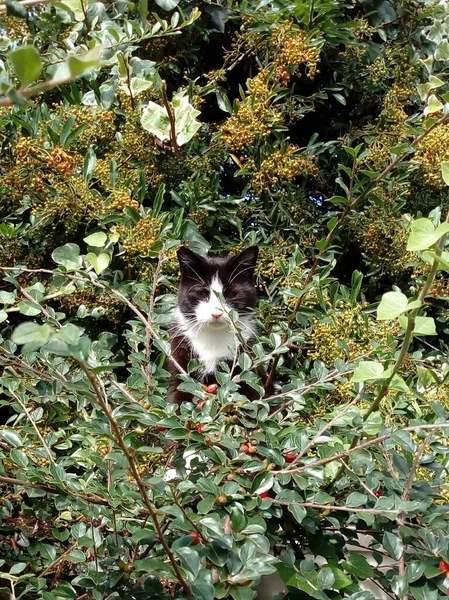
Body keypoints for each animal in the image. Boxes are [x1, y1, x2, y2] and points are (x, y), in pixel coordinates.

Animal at [166, 246, 272, 406]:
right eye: (202, 293)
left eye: (230, 294)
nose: (216, 313)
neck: (213, 338)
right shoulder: (180, 368)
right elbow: (176, 398)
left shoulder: (249, 370)